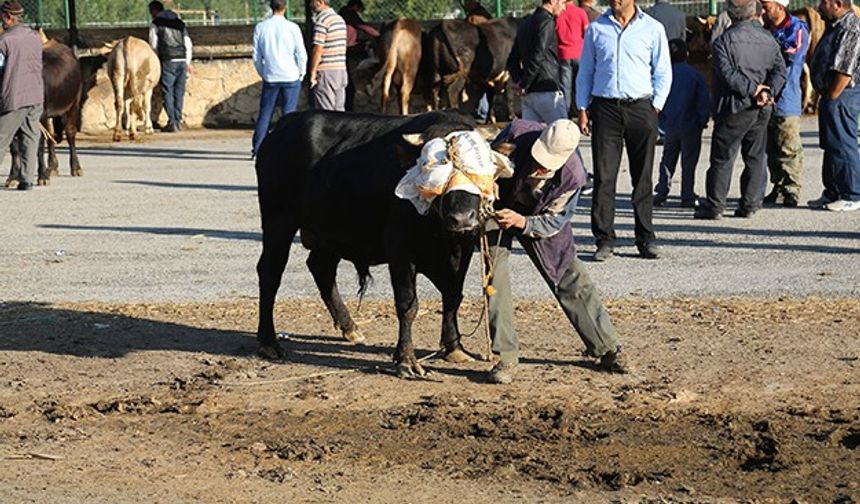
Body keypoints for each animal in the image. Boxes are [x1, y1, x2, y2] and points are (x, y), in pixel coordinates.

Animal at [254, 111, 504, 378]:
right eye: (432, 170)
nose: (462, 217)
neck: (440, 233)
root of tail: (283, 126)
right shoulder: (401, 253)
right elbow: (408, 305)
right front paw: (406, 359)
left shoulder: (463, 250)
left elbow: (453, 296)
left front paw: (454, 347)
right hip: (278, 221)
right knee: (270, 272)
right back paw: (268, 342)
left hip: (330, 231)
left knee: (321, 268)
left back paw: (350, 327)